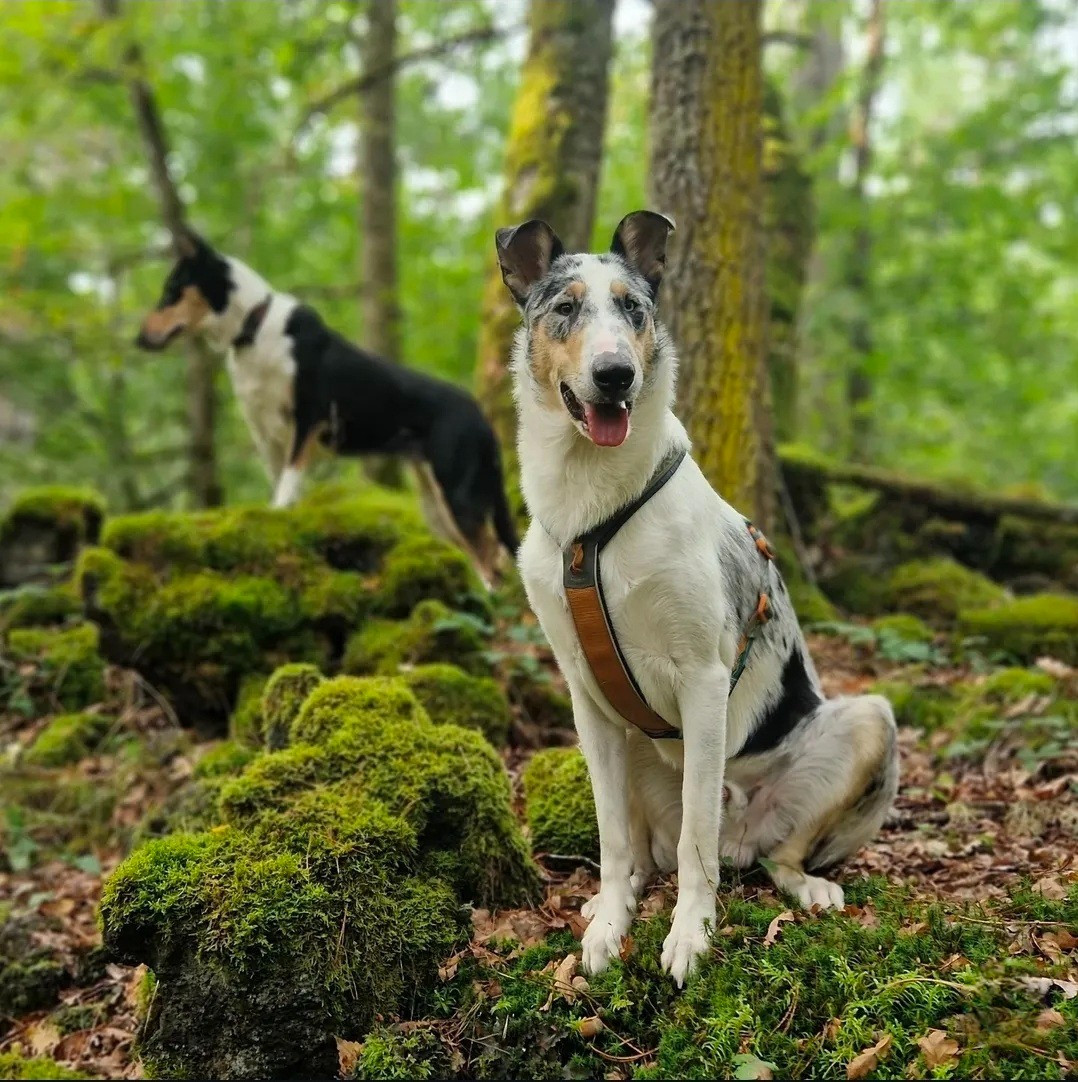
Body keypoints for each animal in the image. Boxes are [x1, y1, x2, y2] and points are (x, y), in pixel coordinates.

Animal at [135, 231, 517, 584]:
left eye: (170, 291)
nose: (138, 339)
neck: (253, 330)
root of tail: (481, 417)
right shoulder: (264, 431)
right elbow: (280, 479)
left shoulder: (308, 417)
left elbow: (289, 478)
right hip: (436, 504)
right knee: (487, 555)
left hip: (459, 495)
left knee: (492, 558)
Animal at [498, 210, 899, 985]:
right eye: (565, 309)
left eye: (634, 309)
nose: (615, 375)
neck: (594, 514)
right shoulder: (586, 695)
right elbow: (612, 838)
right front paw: (609, 926)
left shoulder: (704, 680)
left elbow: (694, 842)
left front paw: (690, 935)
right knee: (648, 852)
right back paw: (617, 896)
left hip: (869, 723)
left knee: (769, 854)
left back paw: (807, 886)